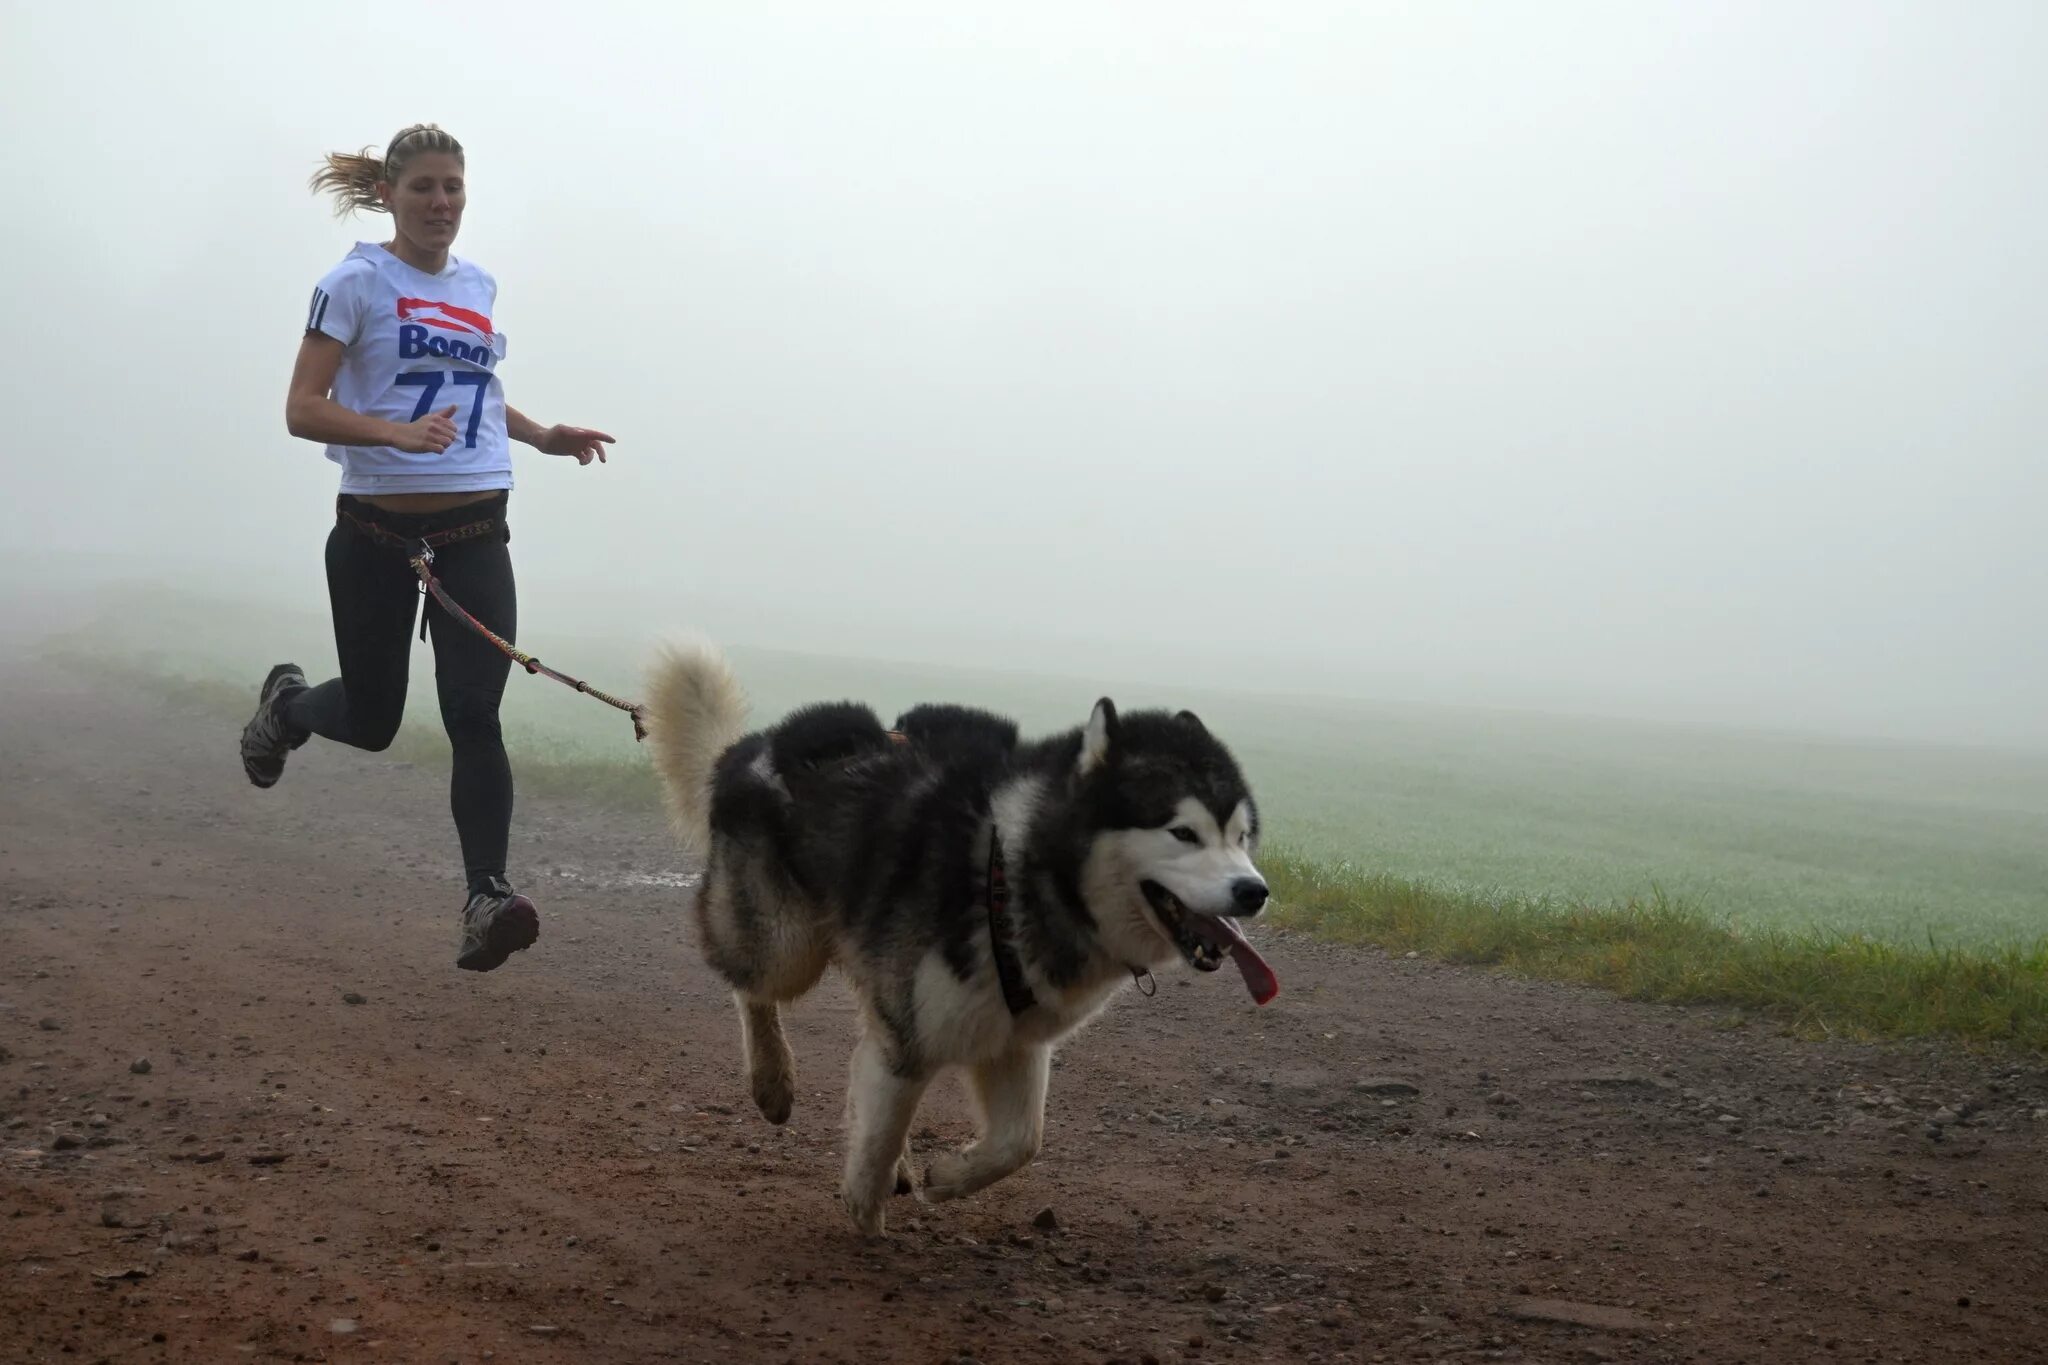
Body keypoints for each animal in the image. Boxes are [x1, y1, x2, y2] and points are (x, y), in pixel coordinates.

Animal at [643, 642, 1277, 1236]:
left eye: (1240, 835)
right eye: (1183, 833)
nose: (1254, 891)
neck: (1017, 871)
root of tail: (749, 747)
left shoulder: (1015, 1036)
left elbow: (1021, 1143)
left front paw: (946, 1178)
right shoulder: (913, 1034)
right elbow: (881, 1133)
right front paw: (865, 1214)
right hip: (786, 945)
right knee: (751, 986)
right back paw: (773, 1078)